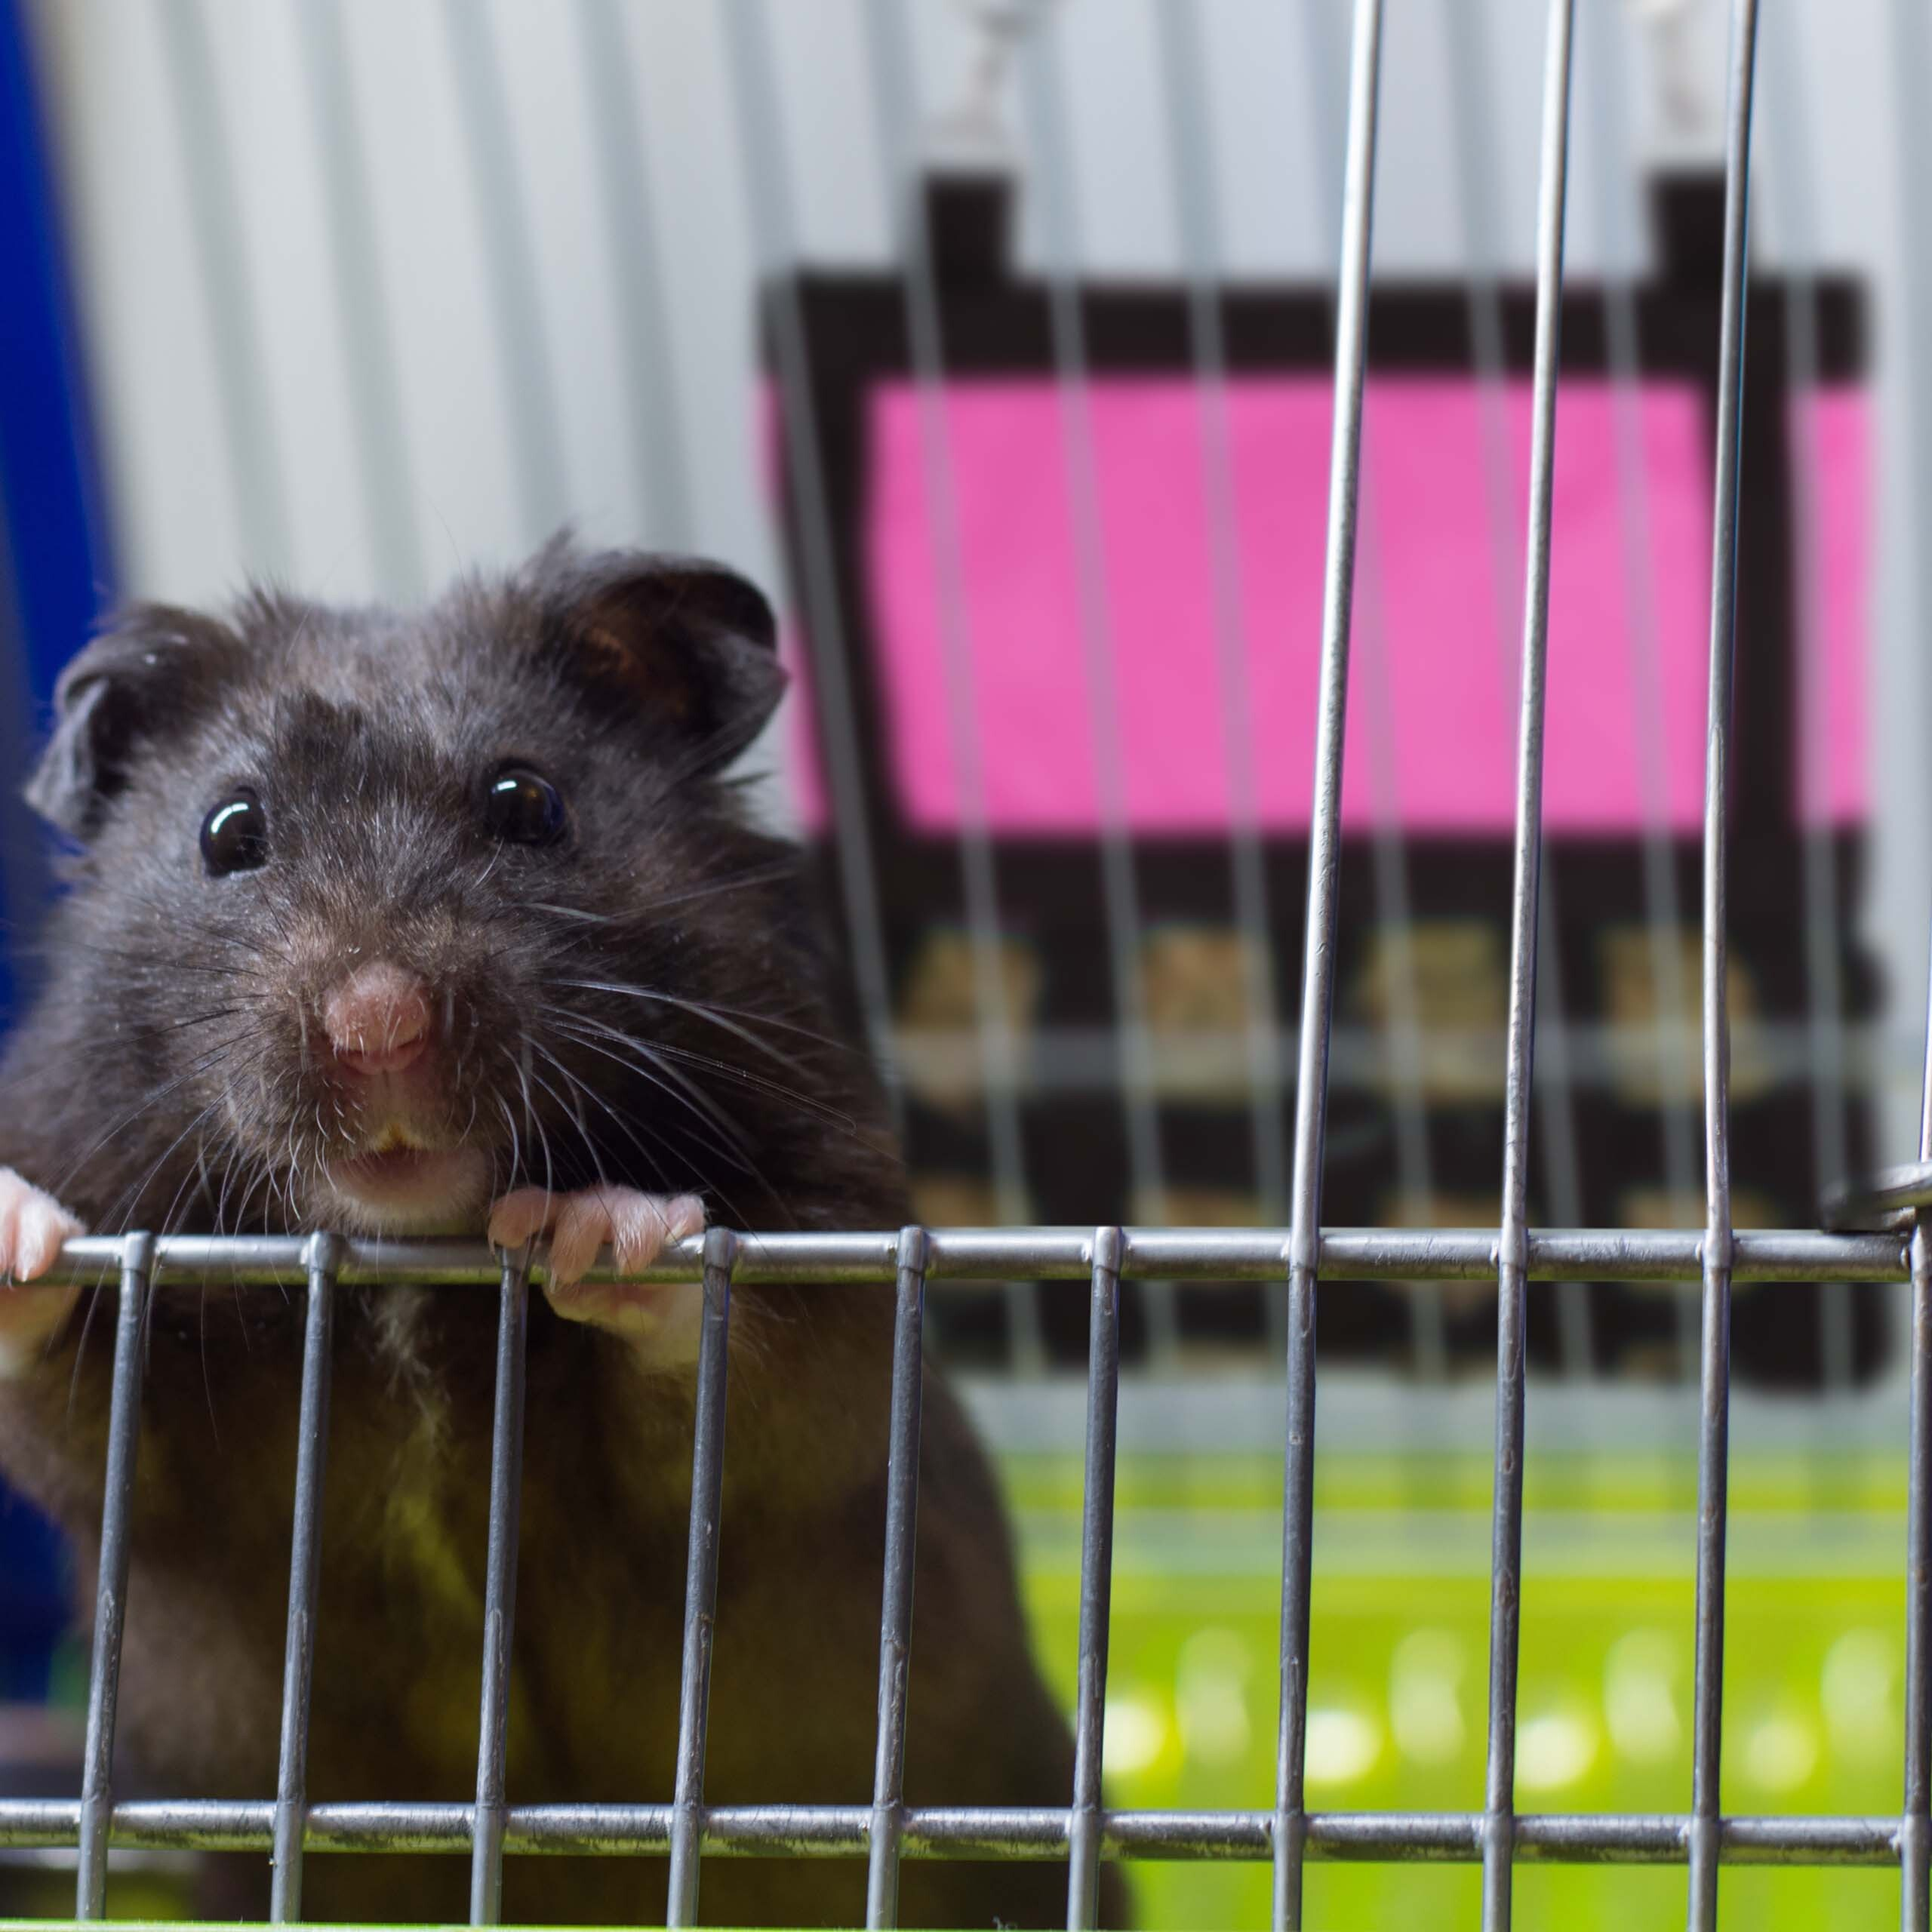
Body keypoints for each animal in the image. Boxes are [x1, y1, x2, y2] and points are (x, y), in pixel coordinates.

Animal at [0, 538, 1128, 1928]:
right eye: (228, 833)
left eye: (527, 803)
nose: (379, 1028)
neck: (411, 1265)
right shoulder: (157, 1436)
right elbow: (73, 1413)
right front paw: (14, 1230)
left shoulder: (842, 1254)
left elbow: (765, 1372)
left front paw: (598, 1233)